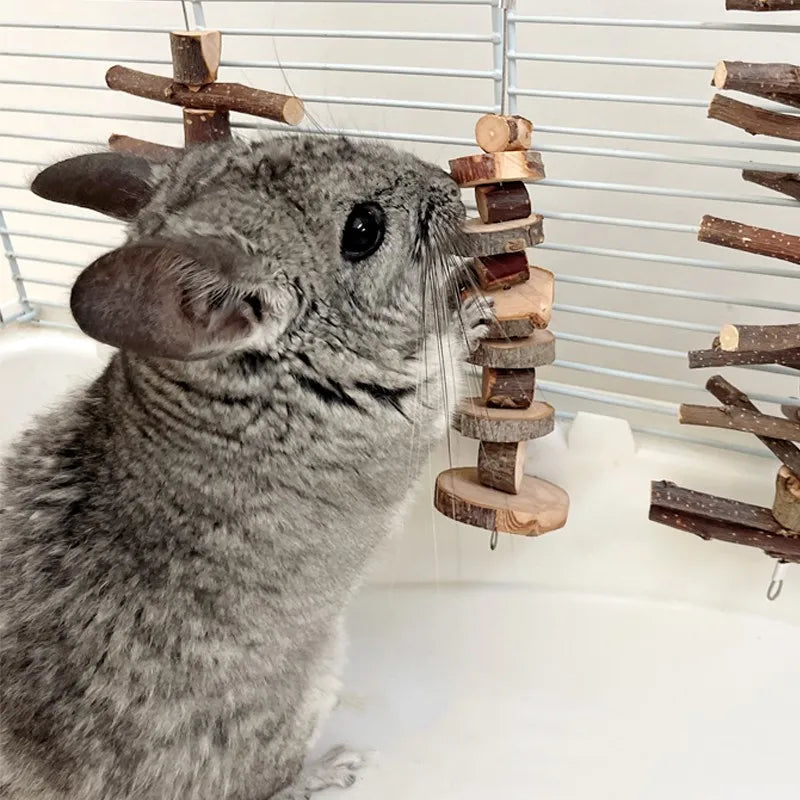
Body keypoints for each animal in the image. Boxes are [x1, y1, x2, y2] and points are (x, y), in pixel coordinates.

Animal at [0, 135, 487, 800]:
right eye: (363, 229)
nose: (450, 180)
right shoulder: (409, 406)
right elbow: (450, 359)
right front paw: (477, 309)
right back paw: (335, 768)